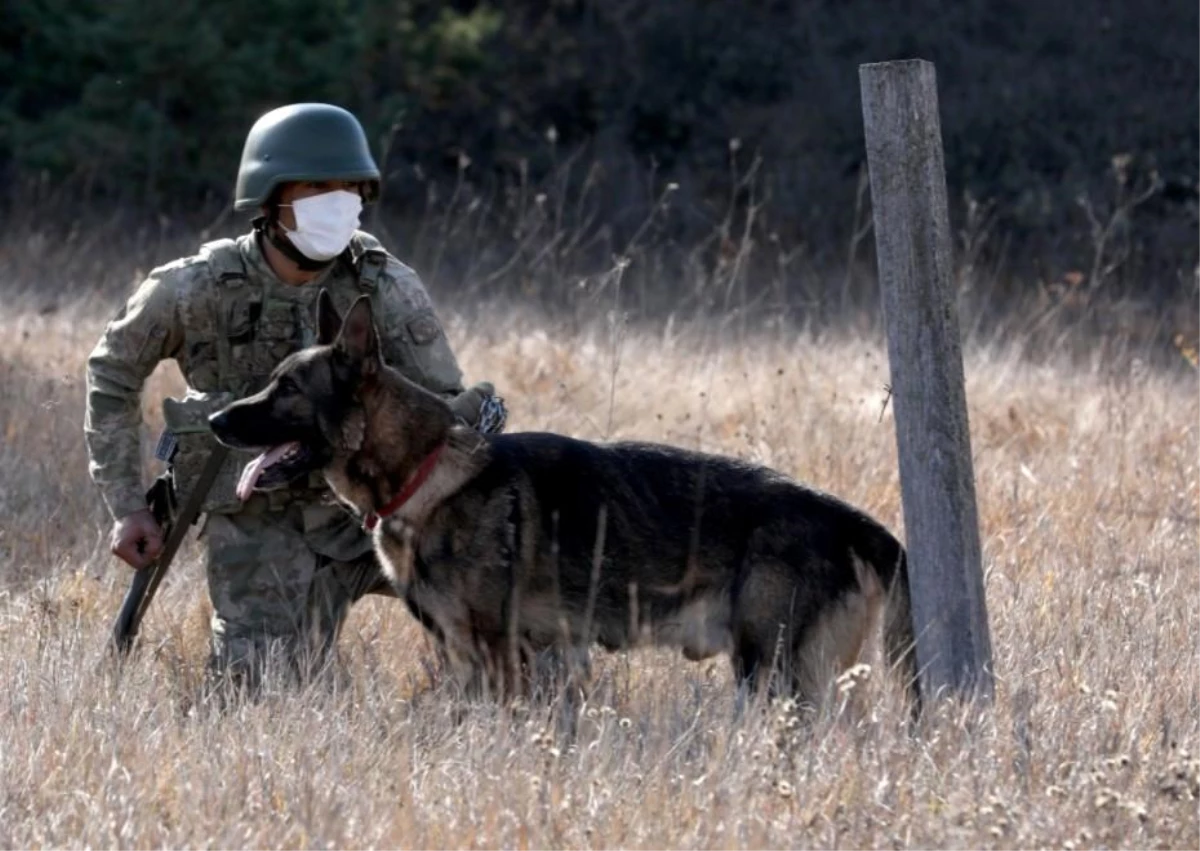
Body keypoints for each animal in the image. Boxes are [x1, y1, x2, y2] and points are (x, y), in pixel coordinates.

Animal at [208, 291, 916, 710]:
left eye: (288, 389)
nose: (214, 421)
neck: (428, 472)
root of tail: (860, 525)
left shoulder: (497, 656)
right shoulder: (472, 658)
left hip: (776, 679)